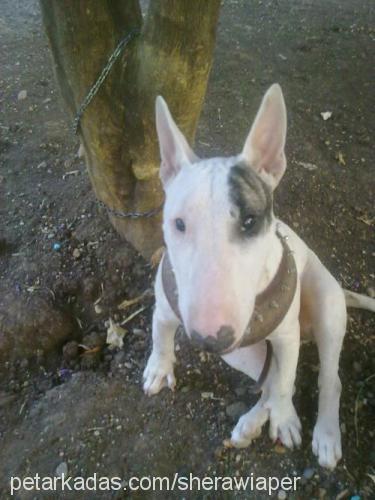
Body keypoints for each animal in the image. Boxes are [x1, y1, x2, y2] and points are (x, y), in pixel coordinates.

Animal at [142, 84, 374, 470]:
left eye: (250, 221)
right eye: (179, 224)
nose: (211, 337)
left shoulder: (286, 335)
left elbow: (285, 382)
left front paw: (285, 420)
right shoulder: (165, 307)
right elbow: (161, 337)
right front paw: (159, 368)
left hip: (325, 309)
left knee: (324, 379)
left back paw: (324, 434)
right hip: (241, 351)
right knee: (272, 381)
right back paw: (251, 423)